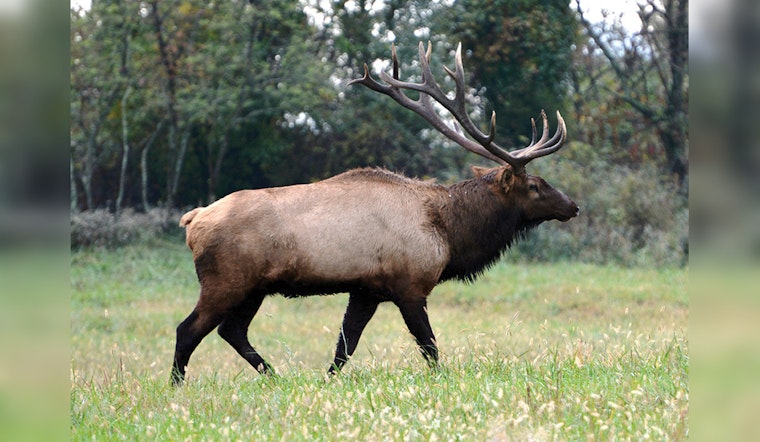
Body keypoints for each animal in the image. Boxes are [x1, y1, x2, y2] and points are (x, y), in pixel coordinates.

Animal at [170, 42, 579, 385]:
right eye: (534, 185)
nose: (572, 205)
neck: (449, 232)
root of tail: (192, 220)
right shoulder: (410, 285)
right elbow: (429, 347)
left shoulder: (366, 290)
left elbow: (343, 348)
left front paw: (327, 382)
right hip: (225, 280)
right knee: (189, 329)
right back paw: (177, 387)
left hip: (254, 287)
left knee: (232, 330)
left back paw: (274, 376)